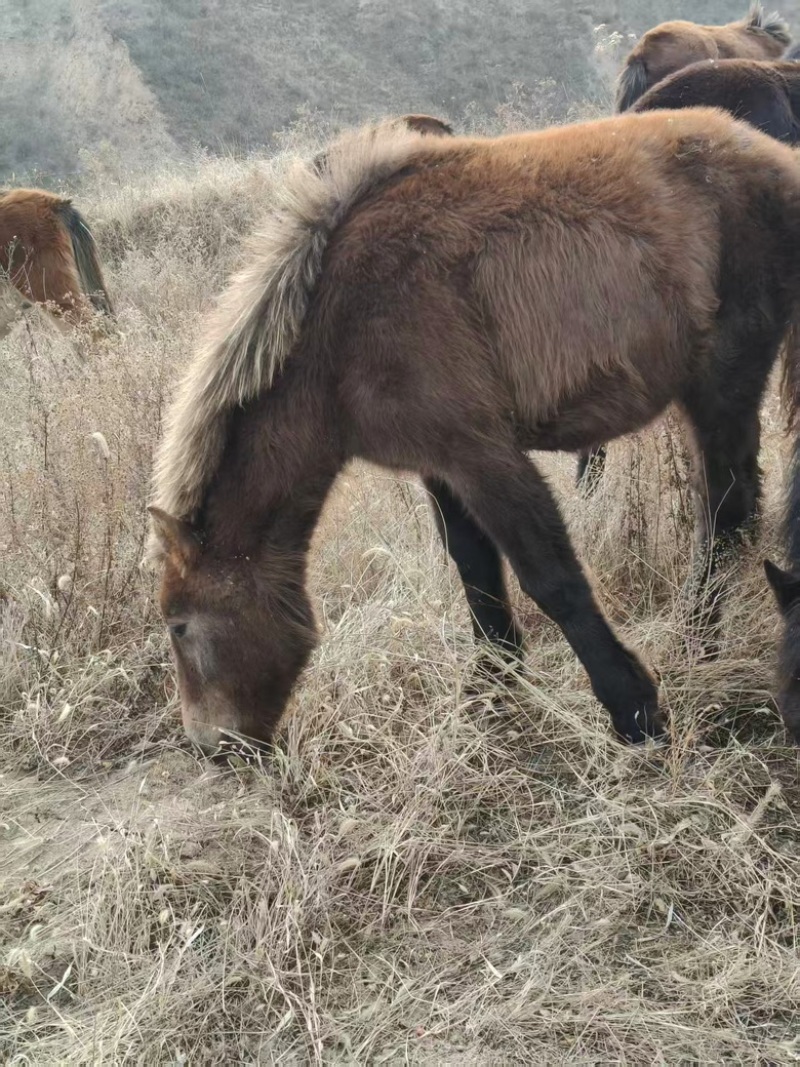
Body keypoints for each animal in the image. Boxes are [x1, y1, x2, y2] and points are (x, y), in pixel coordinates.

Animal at [146, 109, 800, 758]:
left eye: (179, 625)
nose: (207, 743)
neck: (341, 326)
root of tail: (776, 161)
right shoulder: (440, 467)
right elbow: (475, 573)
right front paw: (492, 690)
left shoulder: (484, 457)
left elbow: (550, 579)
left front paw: (634, 711)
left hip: (721, 388)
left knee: (724, 515)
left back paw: (696, 644)